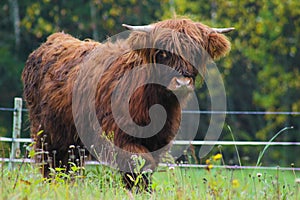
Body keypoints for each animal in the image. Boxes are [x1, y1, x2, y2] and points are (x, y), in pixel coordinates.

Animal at [22, 18, 234, 190]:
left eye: (196, 52)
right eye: (163, 53)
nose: (182, 83)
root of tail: (54, 39)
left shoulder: (159, 141)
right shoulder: (118, 136)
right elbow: (139, 162)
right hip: (46, 132)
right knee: (50, 162)